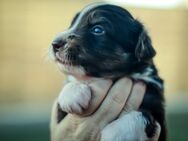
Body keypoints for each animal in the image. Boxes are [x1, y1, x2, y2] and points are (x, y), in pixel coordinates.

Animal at [49, 3, 166, 141]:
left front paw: (115, 133)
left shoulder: (156, 108)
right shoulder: (60, 116)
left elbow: (141, 115)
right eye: (71, 24)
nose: (54, 44)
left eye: (97, 30)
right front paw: (72, 94)